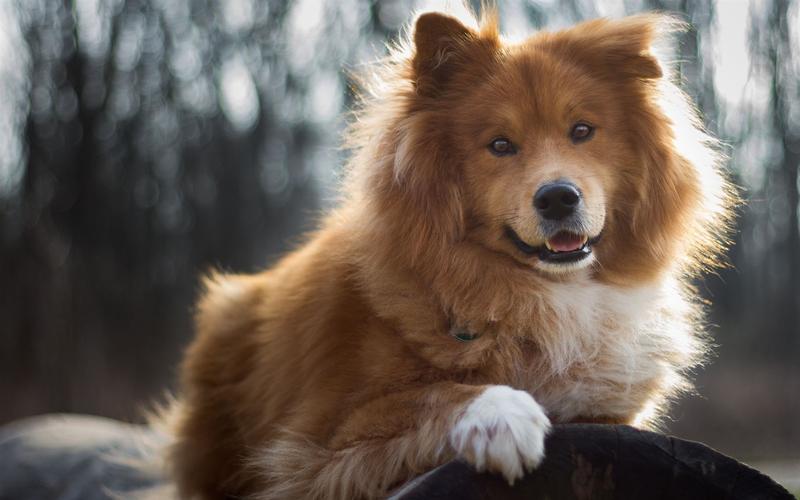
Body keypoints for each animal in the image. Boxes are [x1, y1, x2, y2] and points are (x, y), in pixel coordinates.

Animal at [166, 5, 736, 498]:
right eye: (500, 145)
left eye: (582, 131)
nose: (558, 197)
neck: (538, 293)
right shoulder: (316, 443)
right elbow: (435, 393)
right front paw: (501, 416)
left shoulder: (610, 414)